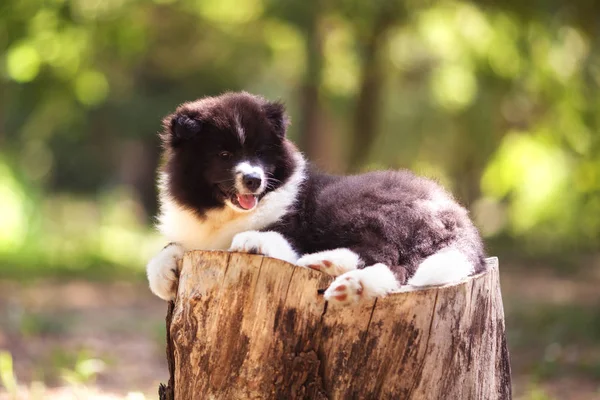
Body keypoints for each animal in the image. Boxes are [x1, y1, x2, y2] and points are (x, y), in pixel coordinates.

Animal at [146, 91, 488, 304]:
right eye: (224, 154)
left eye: (260, 152)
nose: (254, 180)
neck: (225, 213)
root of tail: (458, 216)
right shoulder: (200, 237)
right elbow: (167, 250)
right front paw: (163, 276)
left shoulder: (296, 224)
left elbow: (280, 236)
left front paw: (254, 239)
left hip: (358, 205)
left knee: (389, 258)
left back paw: (337, 273)